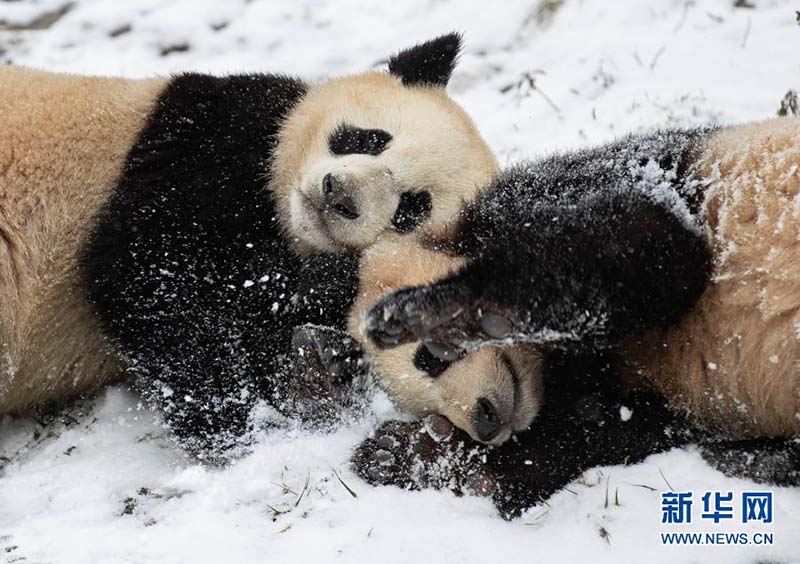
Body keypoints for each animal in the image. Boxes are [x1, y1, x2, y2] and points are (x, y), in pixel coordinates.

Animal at [0, 33, 496, 456]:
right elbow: (147, 276)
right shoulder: (200, 144)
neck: (280, 215)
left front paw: (319, 359)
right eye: (369, 139)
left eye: (410, 208)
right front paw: (236, 422)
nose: (337, 196)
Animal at [322, 121, 796, 516]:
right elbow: (593, 429)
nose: (484, 423)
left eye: (429, 360)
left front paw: (445, 313)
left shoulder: (599, 181)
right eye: (429, 404)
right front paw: (404, 454)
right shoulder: (655, 400)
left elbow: (650, 242)